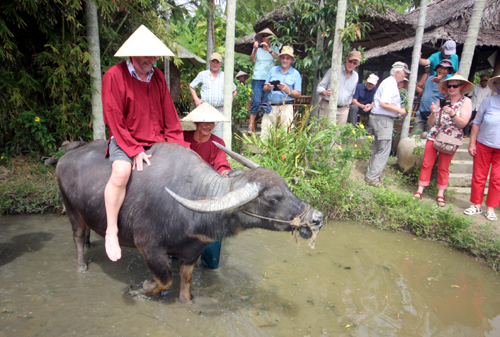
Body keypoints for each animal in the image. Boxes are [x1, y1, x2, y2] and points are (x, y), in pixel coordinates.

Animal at [56, 139, 324, 302]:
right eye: (274, 198)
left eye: (287, 187)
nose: (317, 218)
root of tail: (64, 158)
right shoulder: (149, 247)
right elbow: (165, 279)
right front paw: (142, 288)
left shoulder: (191, 252)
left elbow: (184, 282)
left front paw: (187, 301)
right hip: (71, 209)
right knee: (77, 236)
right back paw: (81, 265)